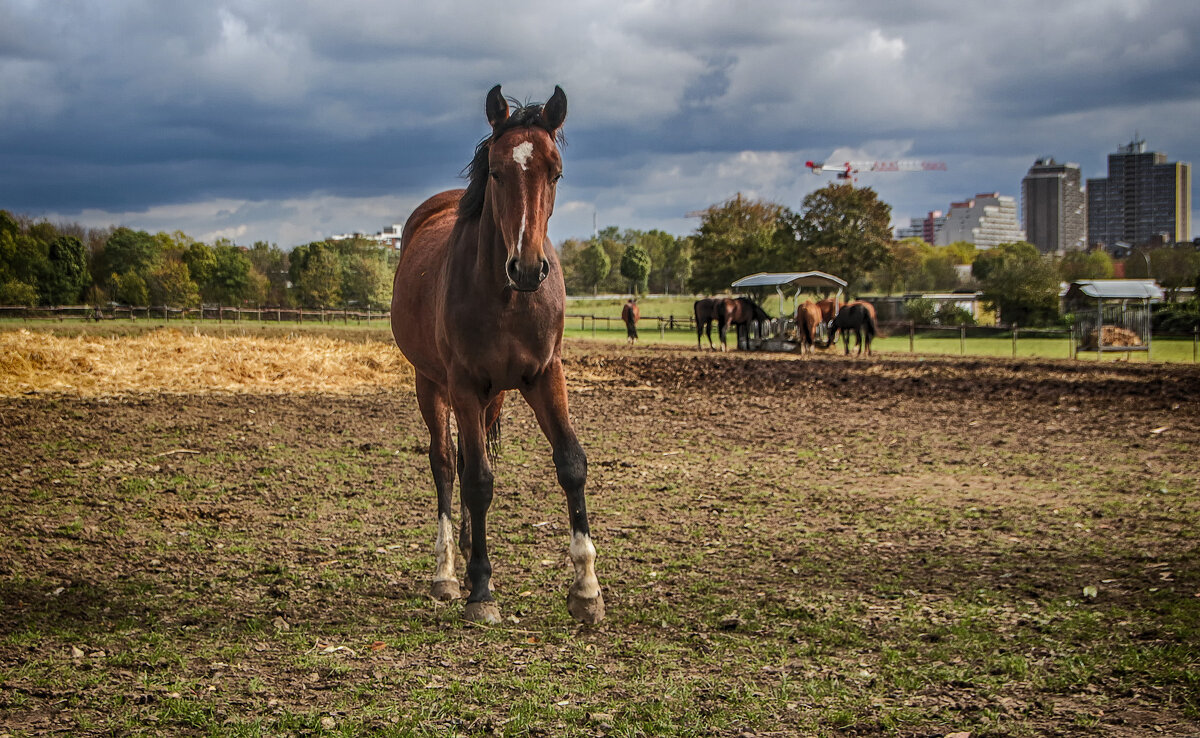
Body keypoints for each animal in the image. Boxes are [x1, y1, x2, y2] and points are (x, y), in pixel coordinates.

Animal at [391, 84, 604, 624]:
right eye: (495, 171)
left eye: (555, 171)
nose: (527, 268)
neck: (508, 298)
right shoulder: (463, 384)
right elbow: (477, 481)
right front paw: (482, 591)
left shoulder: (545, 375)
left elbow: (571, 463)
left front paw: (586, 590)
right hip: (432, 384)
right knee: (447, 465)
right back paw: (448, 572)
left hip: (495, 396)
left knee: (469, 456)